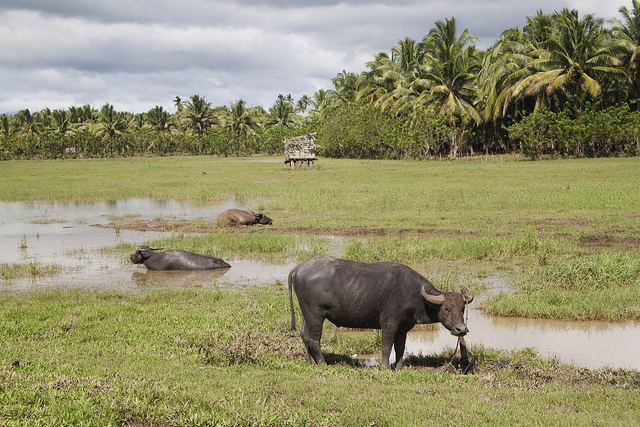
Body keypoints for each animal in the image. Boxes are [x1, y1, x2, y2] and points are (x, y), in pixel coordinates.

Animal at [288, 256, 472, 370]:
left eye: (462, 308)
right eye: (446, 308)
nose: (461, 329)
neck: (414, 294)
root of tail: (300, 268)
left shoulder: (403, 327)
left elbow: (400, 347)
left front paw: (398, 367)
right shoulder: (389, 323)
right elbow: (386, 346)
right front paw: (384, 366)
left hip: (306, 314)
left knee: (304, 334)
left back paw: (311, 361)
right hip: (315, 315)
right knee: (314, 338)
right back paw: (322, 363)